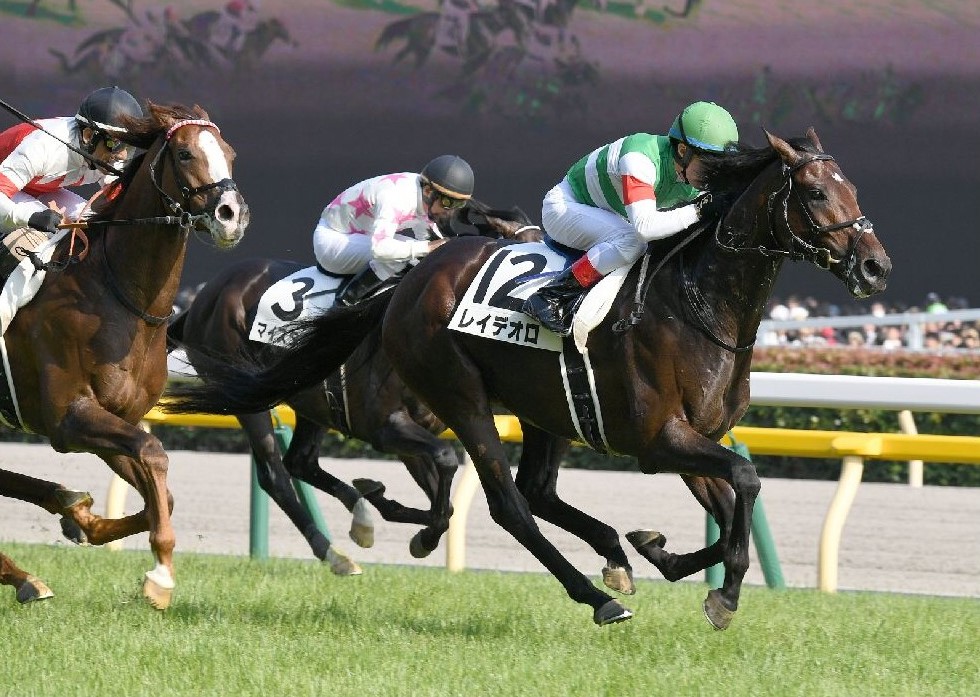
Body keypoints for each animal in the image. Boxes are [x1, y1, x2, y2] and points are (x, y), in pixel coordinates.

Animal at [0, 102, 249, 609]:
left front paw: (86, 523)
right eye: (185, 153)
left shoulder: (119, 419)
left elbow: (161, 494)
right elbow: (154, 454)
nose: (232, 216)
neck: (118, 294)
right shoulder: (70, 419)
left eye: (230, 153)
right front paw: (161, 576)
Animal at [166, 201, 541, 568]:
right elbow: (446, 458)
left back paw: (358, 517)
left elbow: (445, 503)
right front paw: (402, 518)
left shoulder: (412, 432)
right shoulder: (384, 428)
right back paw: (332, 552)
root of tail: (203, 298)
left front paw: (393, 511)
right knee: (275, 474)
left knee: (300, 462)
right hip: (247, 395)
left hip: (310, 398)